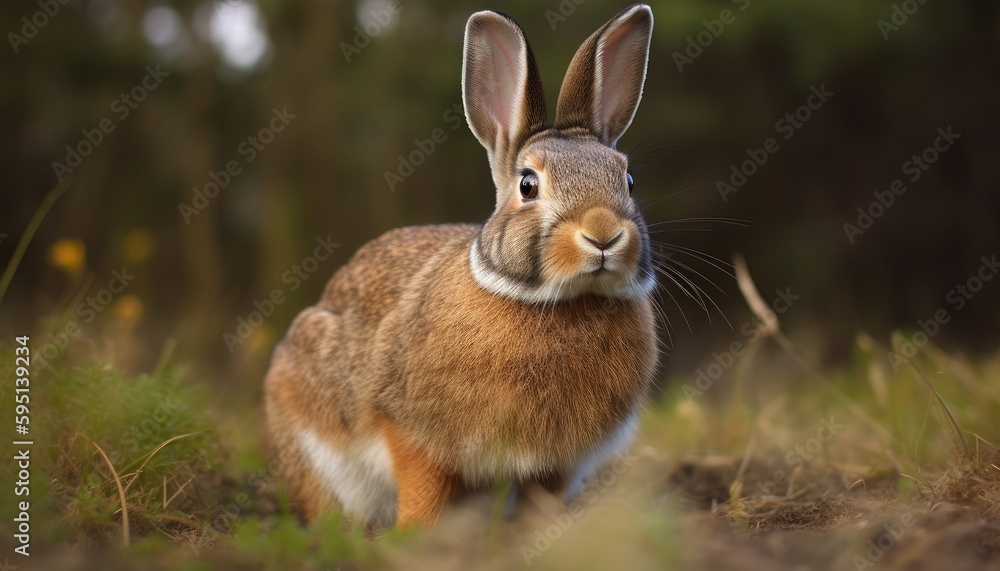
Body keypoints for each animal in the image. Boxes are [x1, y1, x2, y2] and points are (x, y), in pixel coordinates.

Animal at [263, 4, 658, 528]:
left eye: (628, 180)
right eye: (528, 185)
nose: (603, 234)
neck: (558, 301)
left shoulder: (558, 462)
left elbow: (542, 496)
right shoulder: (411, 429)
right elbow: (422, 487)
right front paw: (414, 534)